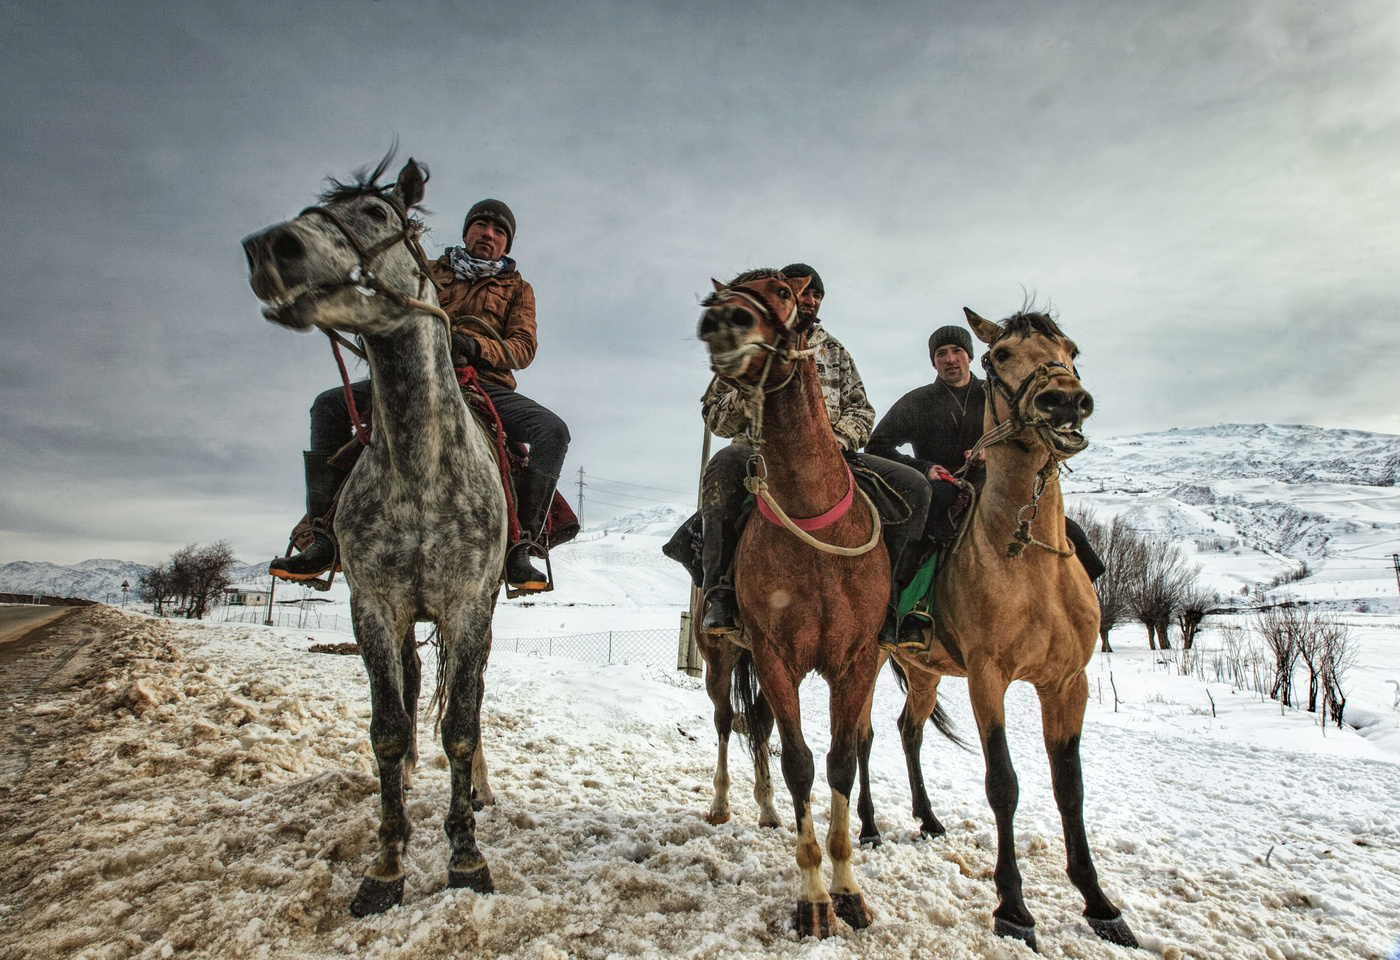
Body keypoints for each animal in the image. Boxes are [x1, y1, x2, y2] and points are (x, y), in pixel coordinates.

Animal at [245, 156, 509, 918]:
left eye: (376, 215)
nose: (269, 249)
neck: (420, 465)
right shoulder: (374, 607)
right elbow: (388, 729)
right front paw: (387, 865)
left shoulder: (467, 607)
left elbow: (462, 723)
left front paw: (466, 858)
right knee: (420, 685)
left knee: (467, 695)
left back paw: (478, 790)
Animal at [697, 271, 884, 940]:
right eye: (724, 288)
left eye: (782, 291)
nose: (721, 319)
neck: (811, 514)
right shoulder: (776, 658)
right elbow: (800, 763)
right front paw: (813, 900)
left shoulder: (856, 663)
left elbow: (839, 763)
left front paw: (850, 891)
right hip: (720, 656)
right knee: (726, 720)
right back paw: (723, 802)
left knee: (756, 725)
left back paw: (767, 811)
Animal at [890, 310, 1142, 957]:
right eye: (998, 355)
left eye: (1072, 348)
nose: (1065, 400)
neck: (1027, 555)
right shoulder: (989, 678)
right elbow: (1002, 783)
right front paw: (1013, 909)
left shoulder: (1067, 682)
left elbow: (1069, 786)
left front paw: (1099, 904)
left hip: (924, 671)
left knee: (909, 730)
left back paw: (928, 820)